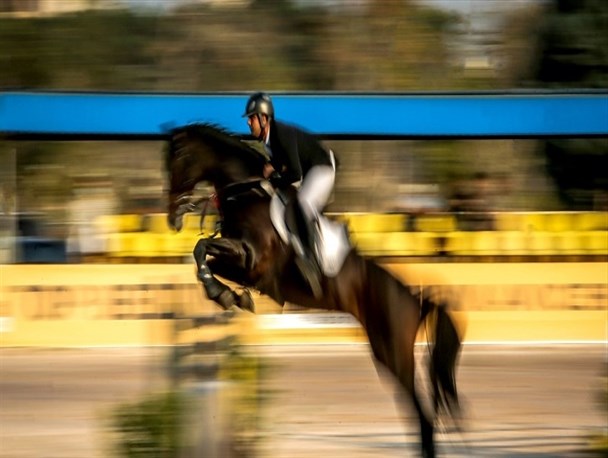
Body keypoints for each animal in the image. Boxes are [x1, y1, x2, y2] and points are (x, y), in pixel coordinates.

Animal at [166, 122, 460, 458]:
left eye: (178, 160)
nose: (172, 219)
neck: (245, 192)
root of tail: (416, 299)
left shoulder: (252, 261)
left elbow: (201, 248)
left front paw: (228, 295)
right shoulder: (241, 264)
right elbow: (204, 258)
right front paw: (231, 296)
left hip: (394, 350)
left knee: (422, 412)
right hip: (385, 349)